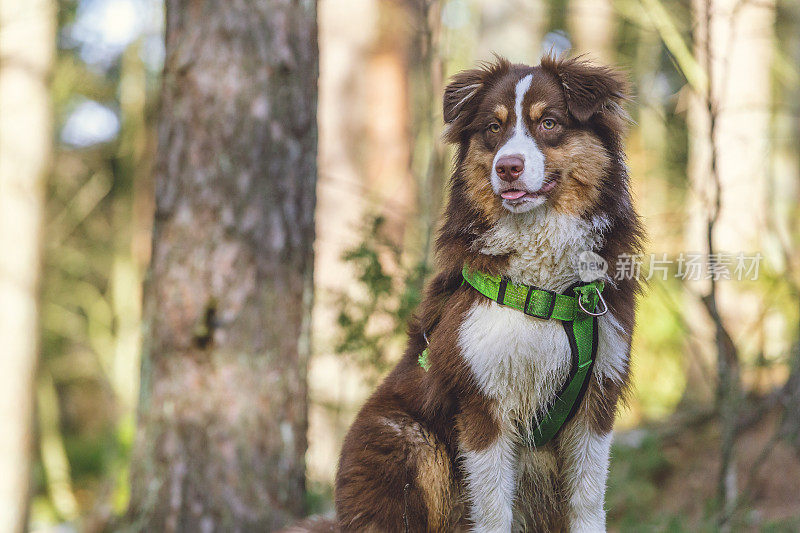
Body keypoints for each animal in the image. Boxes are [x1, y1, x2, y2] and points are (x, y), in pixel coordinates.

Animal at [328, 56, 640, 528]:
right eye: (494, 127)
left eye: (549, 122)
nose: (507, 167)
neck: (542, 287)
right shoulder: (482, 399)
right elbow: (493, 510)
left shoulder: (596, 398)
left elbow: (586, 503)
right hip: (410, 439)